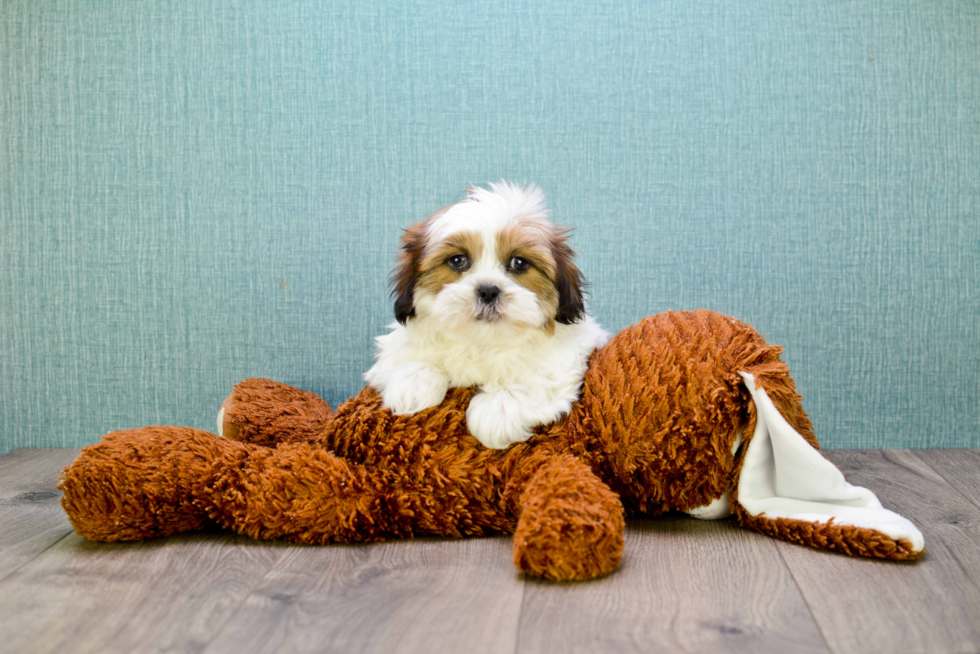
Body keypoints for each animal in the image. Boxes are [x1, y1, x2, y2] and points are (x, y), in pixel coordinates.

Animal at [364, 184, 608, 452]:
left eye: (519, 263)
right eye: (457, 260)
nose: (489, 290)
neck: (483, 341)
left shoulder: (567, 357)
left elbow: (536, 379)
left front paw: (496, 411)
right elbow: (408, 354)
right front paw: (413, 384)